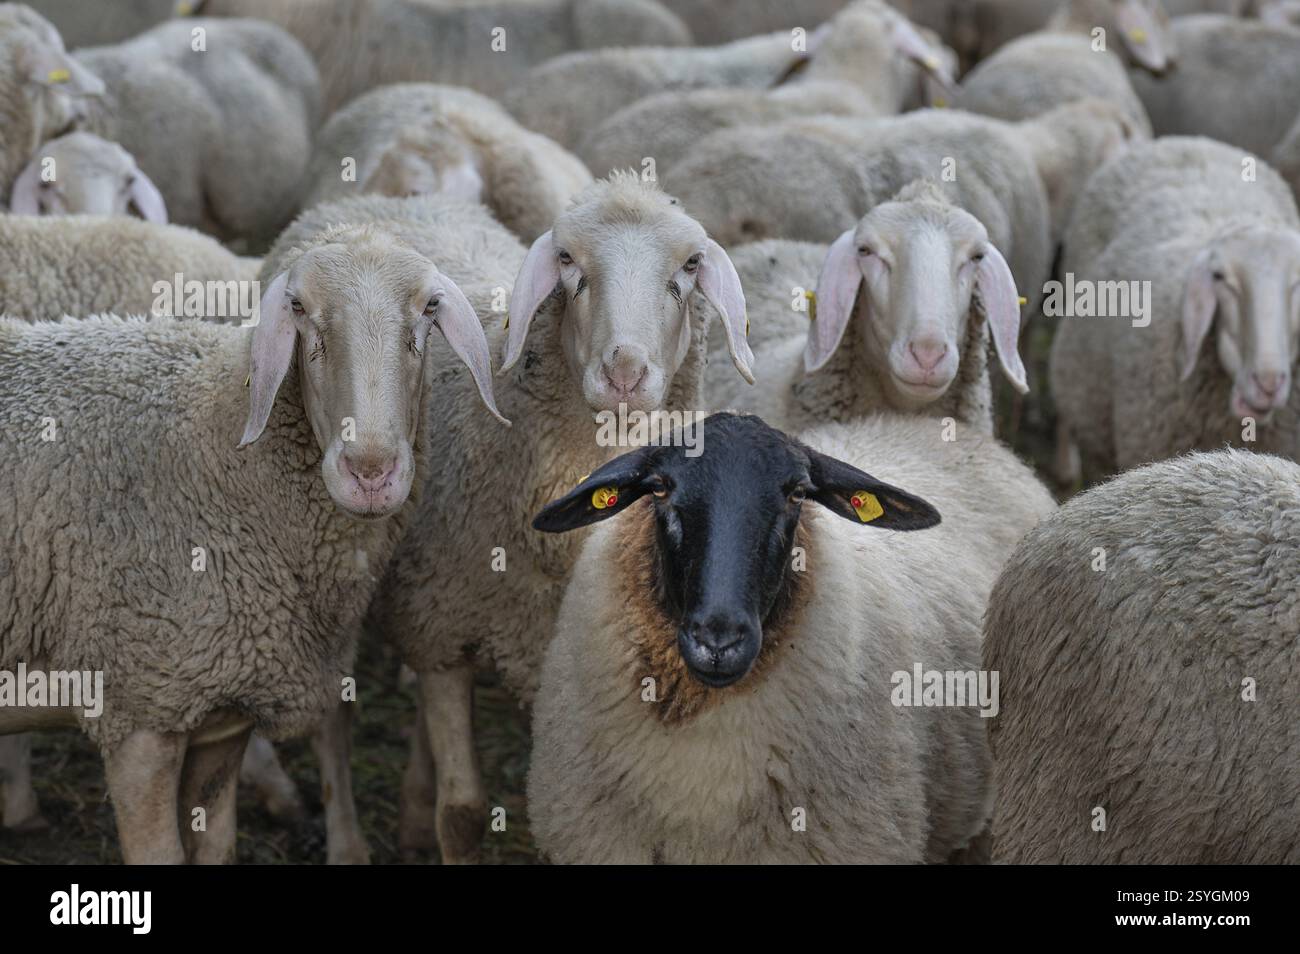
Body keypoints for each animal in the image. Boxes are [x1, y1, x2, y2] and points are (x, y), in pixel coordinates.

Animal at [287, 175, 756, 863]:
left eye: (691, 265)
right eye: (567, 261)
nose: (624, 372)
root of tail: (376, 204)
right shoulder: (442, 625)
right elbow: (461, 814)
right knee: (332, 722)